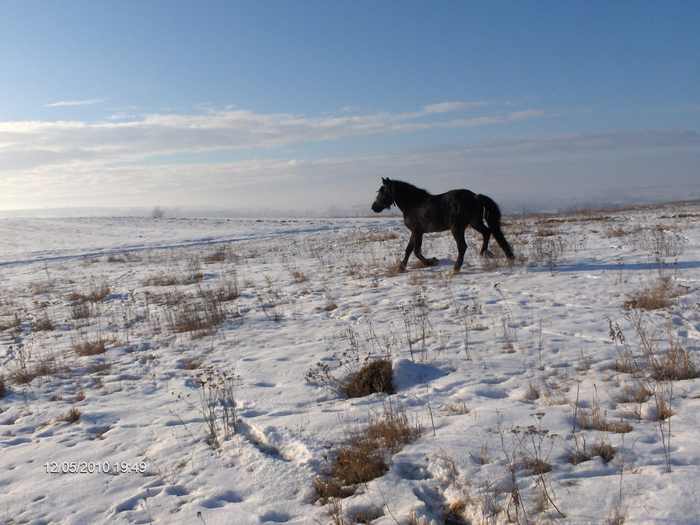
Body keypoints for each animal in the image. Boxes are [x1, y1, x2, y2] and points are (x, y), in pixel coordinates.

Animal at [372, 178, 516, 272]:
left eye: (383, 192)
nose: (374, 207)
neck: (413, 204)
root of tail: (475, 197)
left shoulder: (417, 231)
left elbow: (415, 251)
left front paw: (431, 261)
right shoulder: (416, 232)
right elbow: (410, 249)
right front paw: (403, 267)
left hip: (457, 228)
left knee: (463, 246)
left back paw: (456, 268)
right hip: (474, 222)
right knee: (487, 232)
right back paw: (483, 253)